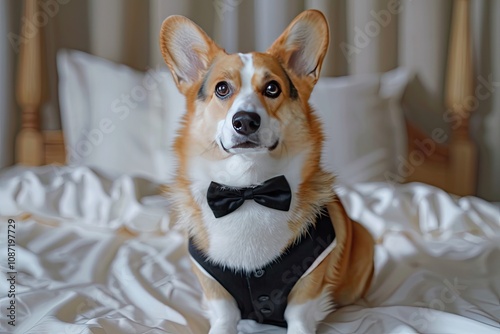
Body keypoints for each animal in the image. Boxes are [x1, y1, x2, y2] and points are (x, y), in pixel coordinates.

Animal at [160, 9, 376, 332]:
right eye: (222, 89)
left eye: (273, 88)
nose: (245, 121)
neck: (249, 189)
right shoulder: (214, 287)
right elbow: (223, 315)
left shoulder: (308, 286)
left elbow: (299, 315)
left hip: (363, 239)